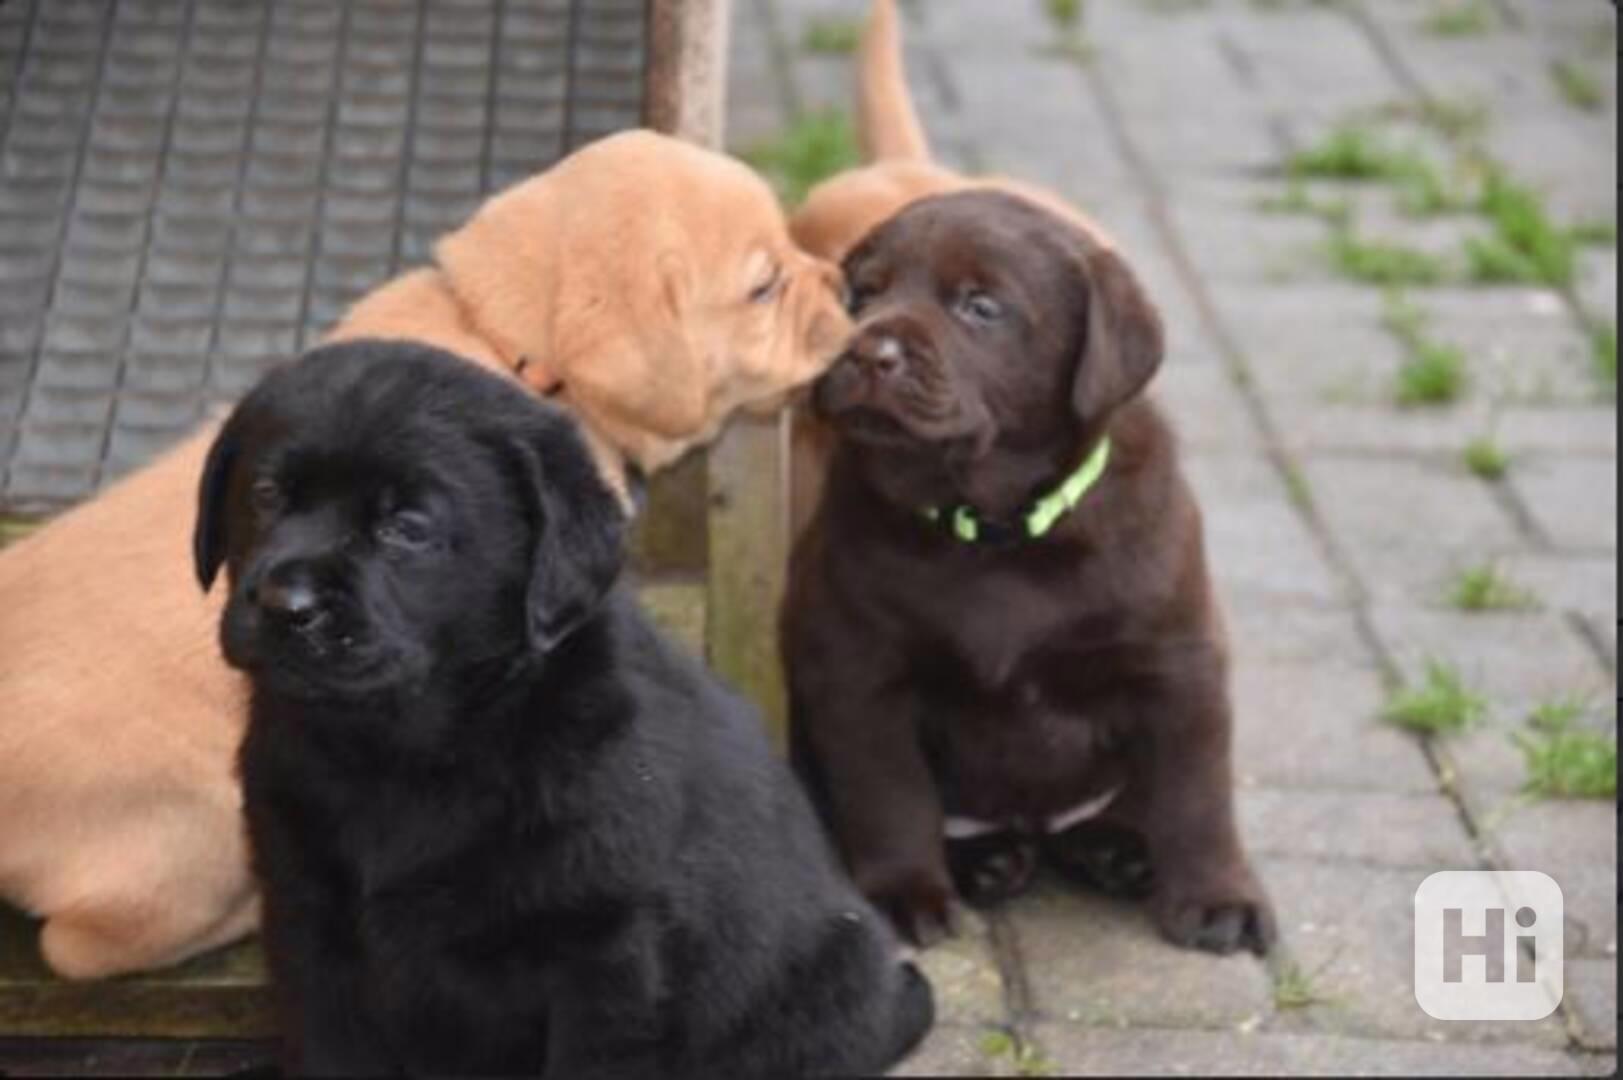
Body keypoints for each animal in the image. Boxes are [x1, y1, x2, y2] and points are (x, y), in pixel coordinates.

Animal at [194, 339, 934, 1078]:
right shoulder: (309, 928)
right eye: (265, 495)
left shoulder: (608, 953)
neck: (409, 751)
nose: (286, 605)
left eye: (406, 527)